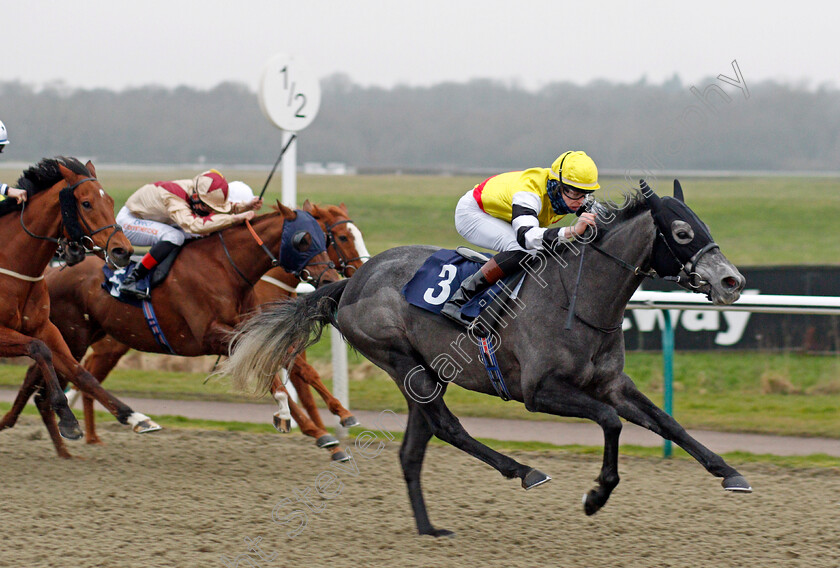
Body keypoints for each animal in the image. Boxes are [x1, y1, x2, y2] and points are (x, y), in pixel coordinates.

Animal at [0, 156, 164, 444]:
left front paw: (135, 417)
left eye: (110, 200)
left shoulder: (45, 327)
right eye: (86, 203)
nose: (122, 251)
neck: (12, 263)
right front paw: (66, 416)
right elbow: (38, 349)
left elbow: (80, 372)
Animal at [3, 204, 340, 458]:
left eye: (326, 238)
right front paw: (298, 420)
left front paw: (306, 419)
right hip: (74, 336)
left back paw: (50, 441)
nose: (328, 279)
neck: (226, 268)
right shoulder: (210, 335)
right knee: (47, 379)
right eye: (303, 240)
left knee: (39, 381)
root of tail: (50, 273)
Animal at [223, 182, 756, 536]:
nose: (731, 281)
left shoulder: (612, 384)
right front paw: (596, 495)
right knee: (446, 426)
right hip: (401, 361)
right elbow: (610, 421)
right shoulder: (540, 392)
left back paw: (429, 528)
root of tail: (351, 282)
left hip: (423, 371)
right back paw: (523, 471)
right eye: (682, 232)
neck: (579, 298)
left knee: (415, 446)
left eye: (703, 224)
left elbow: (668, 423)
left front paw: (730, 474)